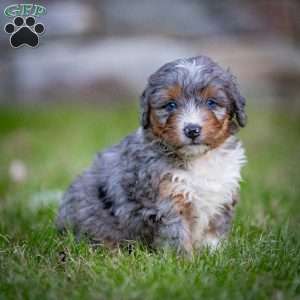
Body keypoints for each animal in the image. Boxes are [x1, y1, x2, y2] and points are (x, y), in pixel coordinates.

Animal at [56, 55, 246, 254]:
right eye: (170, 105)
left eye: (211, 102)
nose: (192, 130)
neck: (198, 159)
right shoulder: (169, 200)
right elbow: (177, 235)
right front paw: (182, 259)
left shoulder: (222, 197)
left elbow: (214, 233)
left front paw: (214, 255)